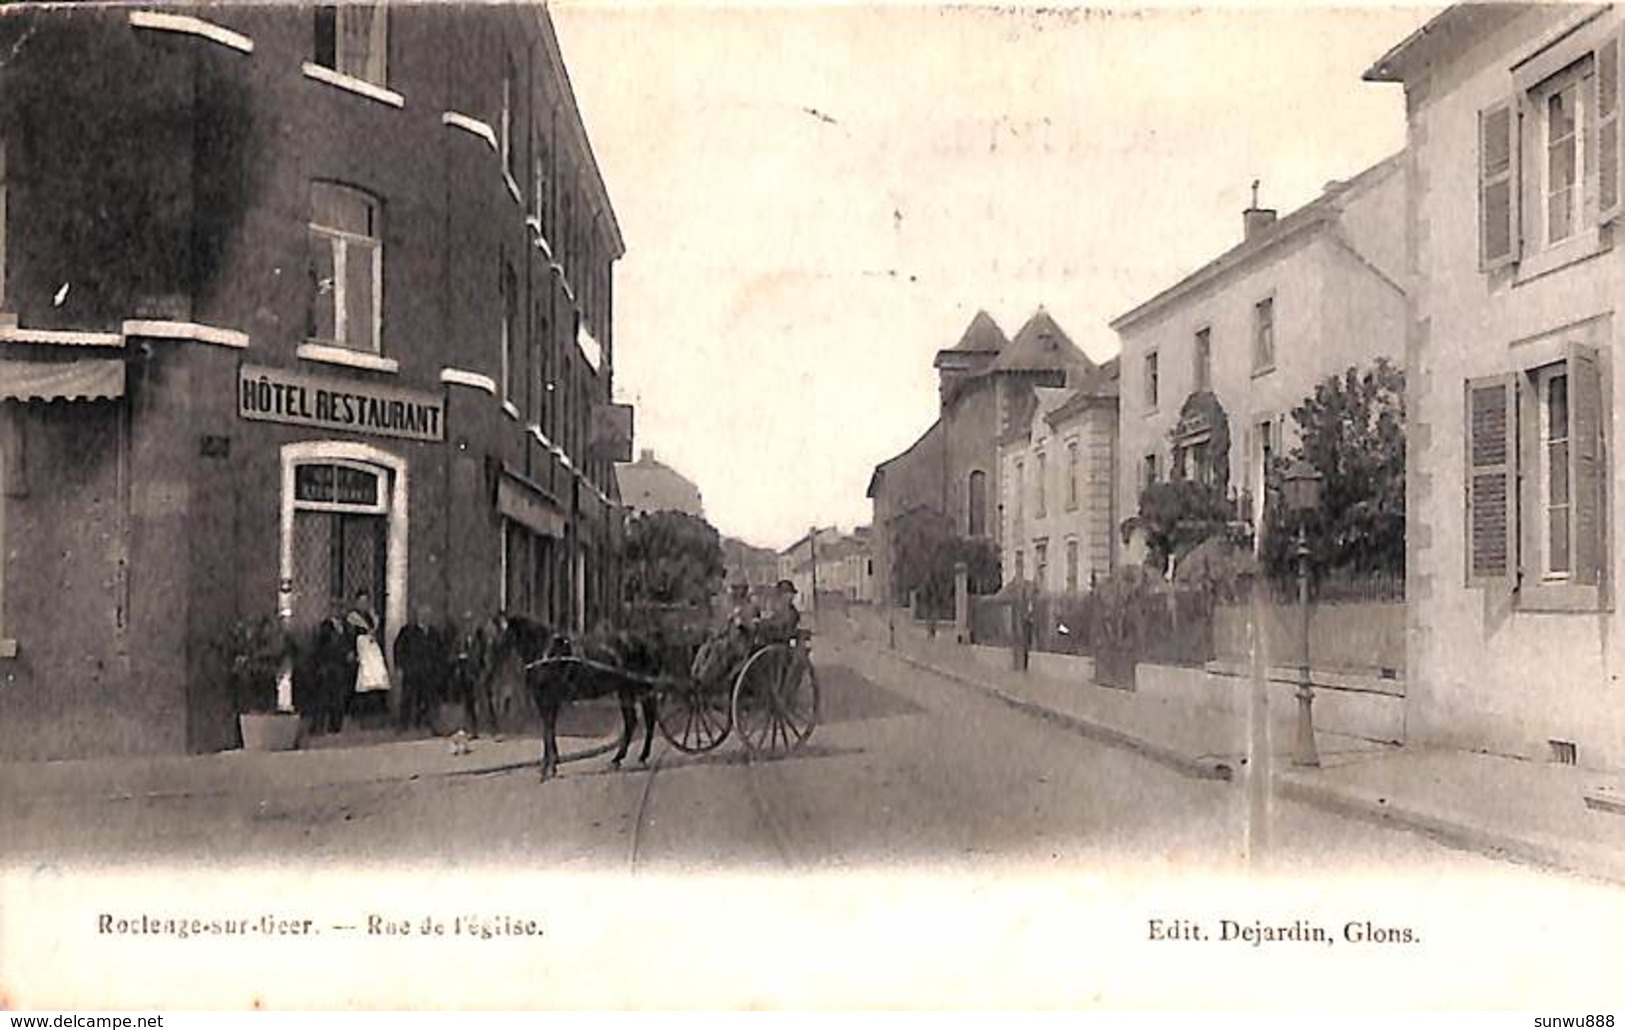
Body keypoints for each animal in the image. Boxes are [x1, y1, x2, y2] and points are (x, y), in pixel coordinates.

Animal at [526, 620, 666, 783]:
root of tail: (649, 642)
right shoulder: (546, 701)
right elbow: (549, 731)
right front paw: (551, 766)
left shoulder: (548, 700)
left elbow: (547, 732)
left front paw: (547, 770)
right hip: (626, 690)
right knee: (632, 721)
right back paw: (618, 759)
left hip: (640, 689)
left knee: (648, 719)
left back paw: (640, 756)